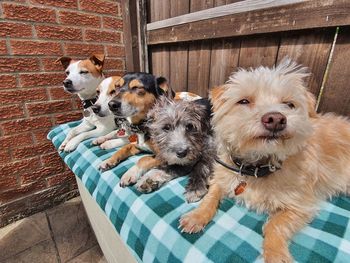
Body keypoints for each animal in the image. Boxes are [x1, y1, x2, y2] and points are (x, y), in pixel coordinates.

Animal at [179, 59, 350, 263]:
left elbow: (275, 225)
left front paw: (276, 254)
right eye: (244, 101)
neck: (255, 166)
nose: (276, 118)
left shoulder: (301, 205)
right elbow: (210, 197)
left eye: (289, 104)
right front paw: (196, 216)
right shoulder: (221, 178)